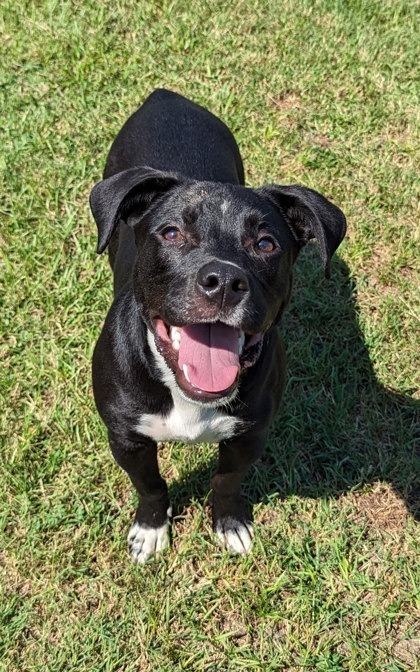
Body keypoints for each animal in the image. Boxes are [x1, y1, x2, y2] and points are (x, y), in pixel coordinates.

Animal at [88, 89, 344, 560]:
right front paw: (151, 528)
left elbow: (226, 481)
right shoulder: (127, 438)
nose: (224, 280)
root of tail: (165, 96)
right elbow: (149, 484)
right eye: (171, 233)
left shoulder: (248, 436)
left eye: (266, 243)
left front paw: (229, 522)